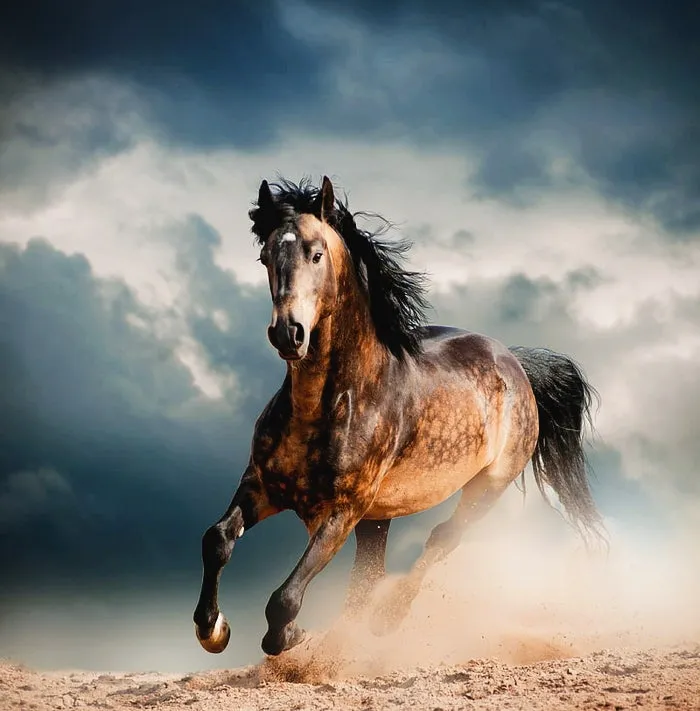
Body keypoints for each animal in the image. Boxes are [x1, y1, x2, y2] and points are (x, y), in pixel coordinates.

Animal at [193, 176, 604, 657]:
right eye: (265, 257)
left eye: (316, 253)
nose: (287, 333)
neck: (327, 405)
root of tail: (516, 363)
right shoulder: (261, 486)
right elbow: (217, 539)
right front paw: (213, 629)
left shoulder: (342, 511)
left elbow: (285, 598)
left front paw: (290, 636)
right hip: (379, 517)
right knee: (368, 575)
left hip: (486, 487)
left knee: (441, 539)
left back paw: (386, 619)